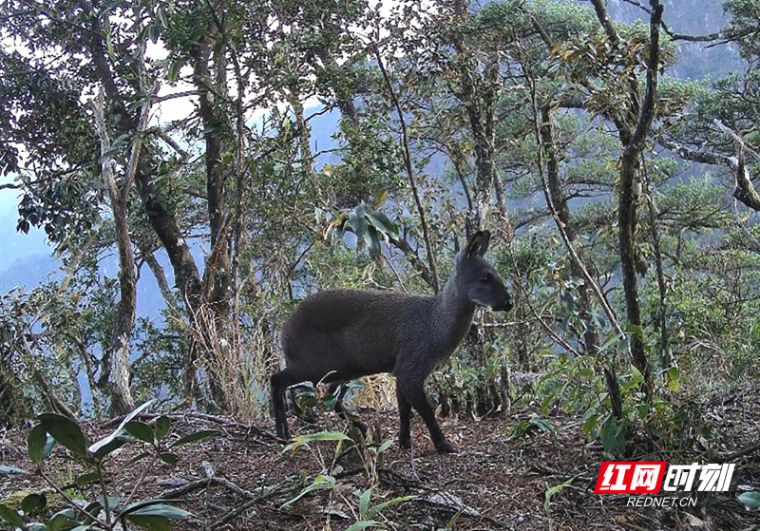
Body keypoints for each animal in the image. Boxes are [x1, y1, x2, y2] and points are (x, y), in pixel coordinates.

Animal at [270, 231, 512, 456]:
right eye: (485, 278)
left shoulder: (400, 370)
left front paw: (404, 442)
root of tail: (285, 331)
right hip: (319, 364)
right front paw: (444, 445)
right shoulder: (411, 368)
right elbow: (426, 411)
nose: (508, 303)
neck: (435, 324)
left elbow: (404, 410)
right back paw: (283, 433)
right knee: (278, 380)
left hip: (343, 369)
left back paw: (360, 427)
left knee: (331, 399)